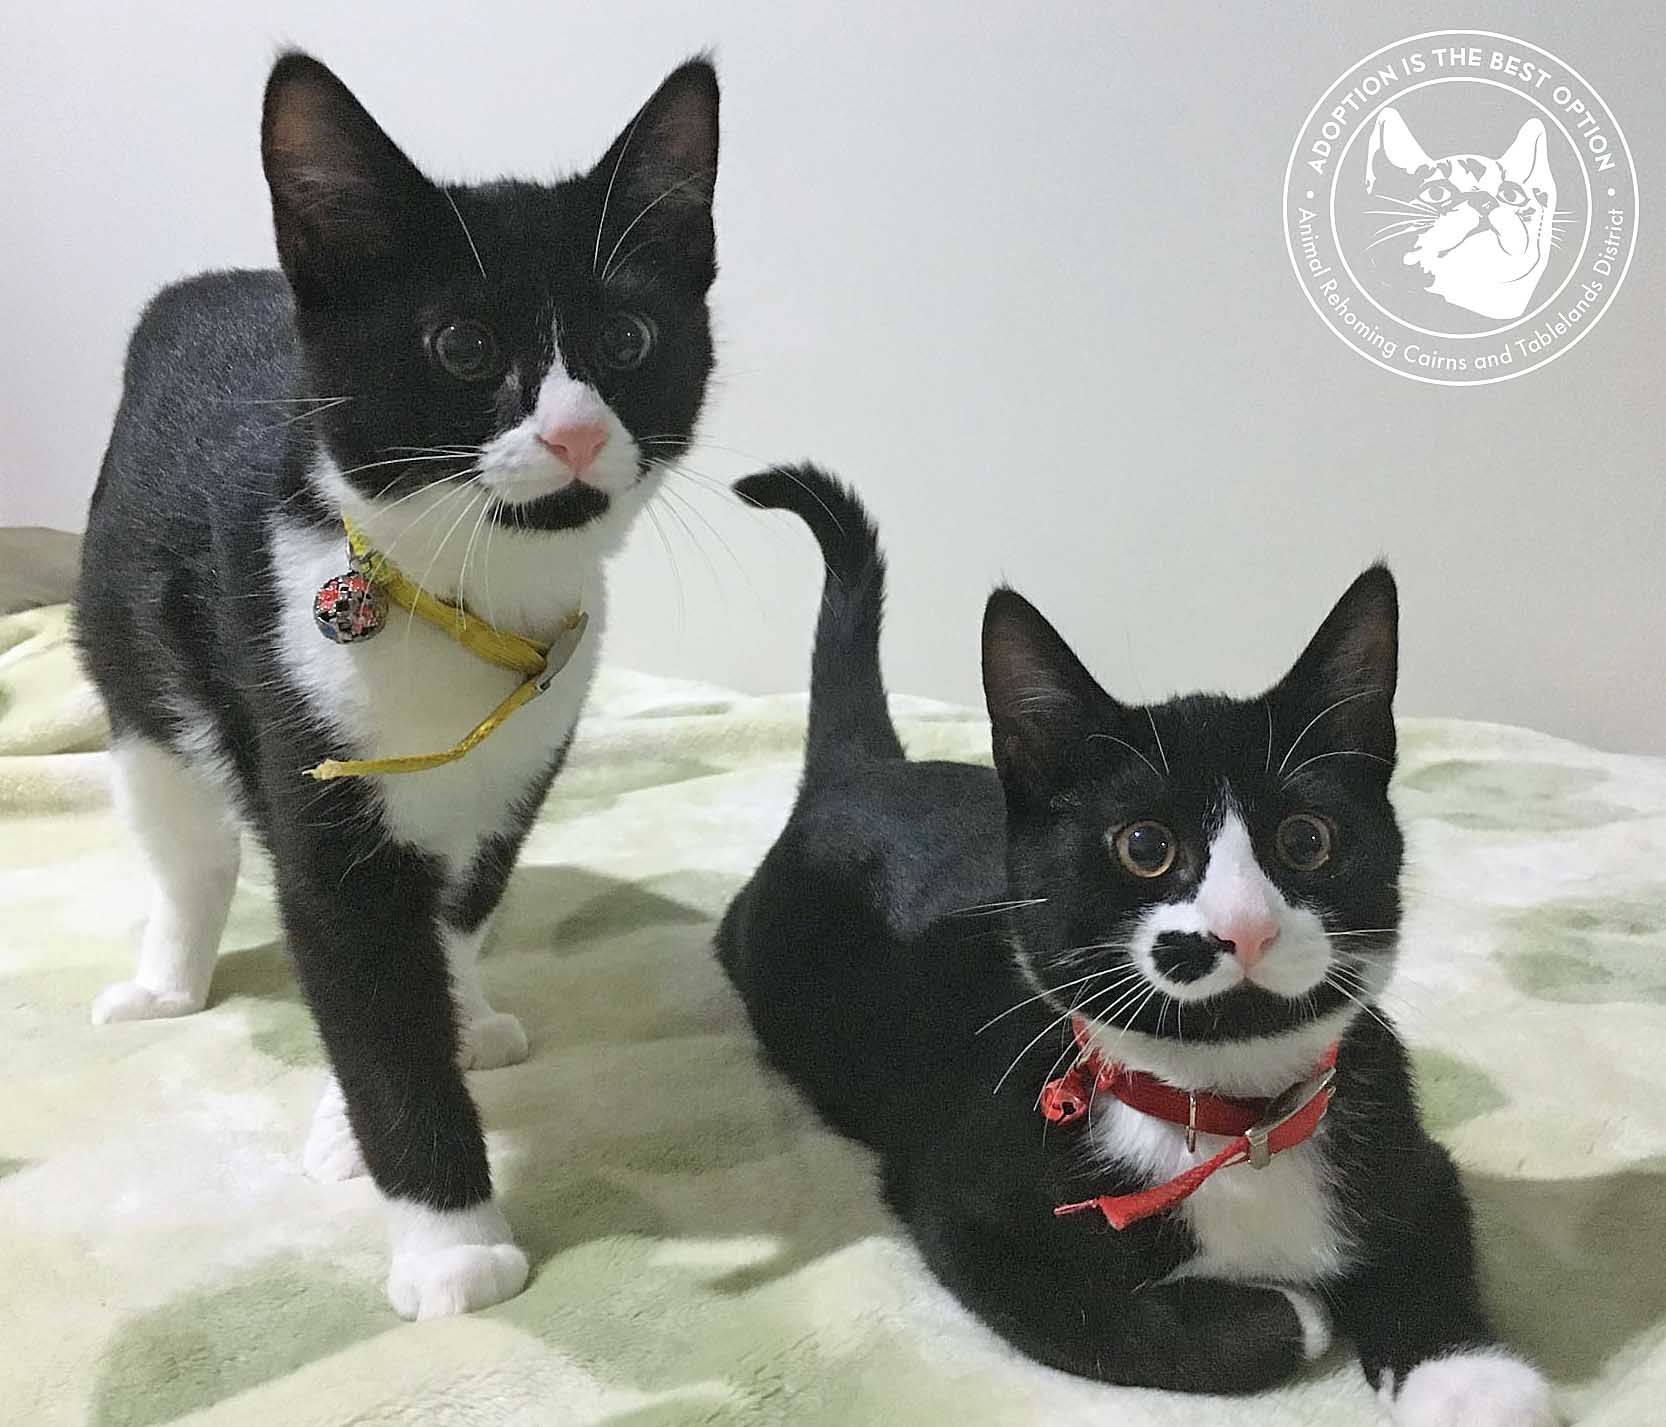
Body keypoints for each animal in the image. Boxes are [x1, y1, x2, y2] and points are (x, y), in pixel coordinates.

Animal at [76, 51, 719, 1318]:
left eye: (627, 336)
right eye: (462, 347)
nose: (576, 433)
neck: (464, 604)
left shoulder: (528, 752)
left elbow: (451, 917)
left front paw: (433, 1044)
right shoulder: (311, 750)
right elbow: (365, 981)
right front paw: (450, 1242)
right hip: (133, 646)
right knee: (181, 831)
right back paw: (166, 977)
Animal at [717, 467, 1556, 1425]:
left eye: (1306, 839)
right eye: (1145, 845)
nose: (1245, 925)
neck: (1229, 1117)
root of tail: (863, 768)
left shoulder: (1405, 1146)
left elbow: (1428, 1234)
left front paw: (1471, 1377)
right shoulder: (961, 1206)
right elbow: (1111, 1317)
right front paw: (1296, 1312)